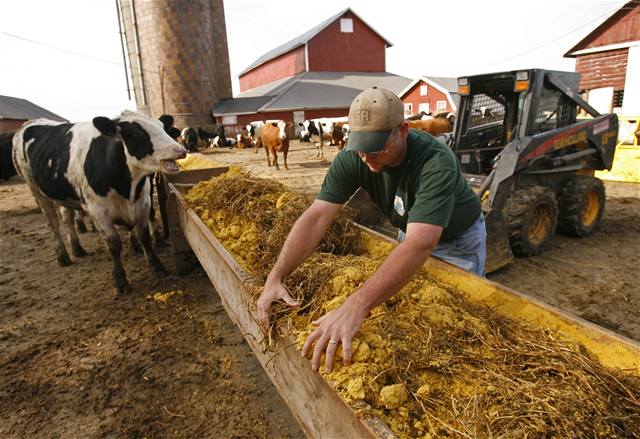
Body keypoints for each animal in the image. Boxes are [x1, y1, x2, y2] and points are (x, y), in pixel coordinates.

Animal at [11, 110, 188, 296]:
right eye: (136, 132)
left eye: (162, 127)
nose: (180, 150)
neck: (127, 187)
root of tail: (29, 123)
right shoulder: (98, 211)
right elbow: (114, 244)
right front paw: (120, 281)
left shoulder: (143, 203)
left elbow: (144, 236)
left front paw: (157, 267)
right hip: (36, 189)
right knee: (53, 224)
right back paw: (62, 256)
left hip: (65, 195)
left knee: (67, 218)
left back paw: (77, 248)